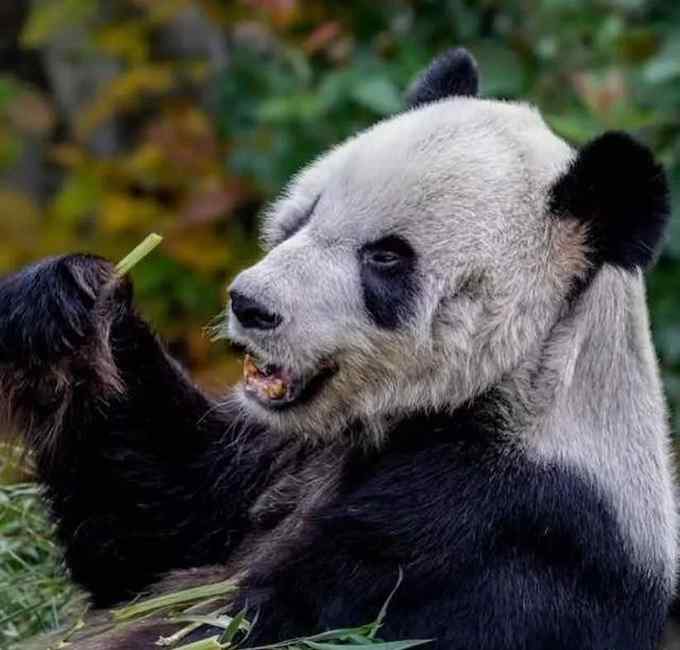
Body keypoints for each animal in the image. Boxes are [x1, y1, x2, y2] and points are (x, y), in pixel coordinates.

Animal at [0, 48, 676, 644]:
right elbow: (157, 518)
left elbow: (275, 621)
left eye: (385, 258)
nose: (250, 305)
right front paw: (66, 299)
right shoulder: (288, 453)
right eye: (304, 216)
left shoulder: (497, 529)